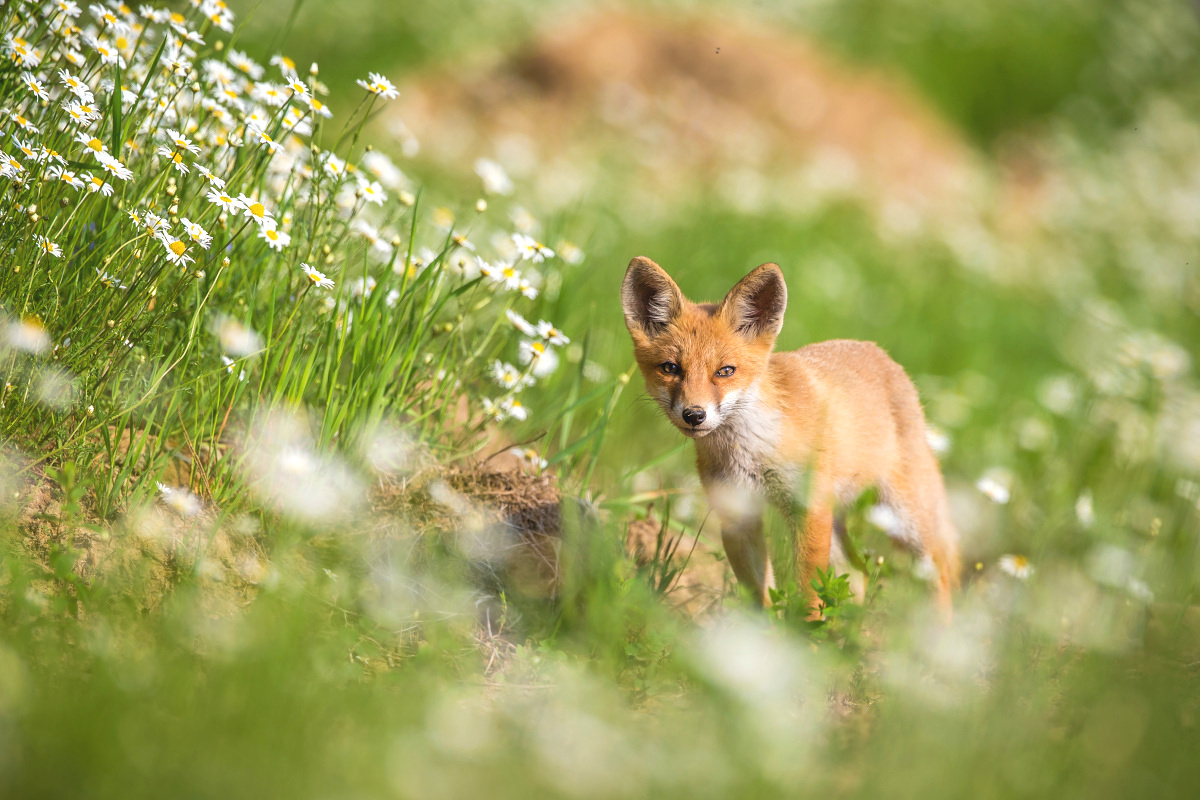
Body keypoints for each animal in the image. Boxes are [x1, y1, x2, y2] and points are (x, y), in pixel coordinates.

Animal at [624, 257, 960, 618]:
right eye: (670, 368)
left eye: (725, 371)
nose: (694, 415)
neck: (752, 453)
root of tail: (881, 354)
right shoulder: (738, 514)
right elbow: (758, 596)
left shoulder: (809, 509)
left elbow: (808, 597)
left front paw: (805, 632)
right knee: (858, 572)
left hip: (905, 520)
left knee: (938, 574)